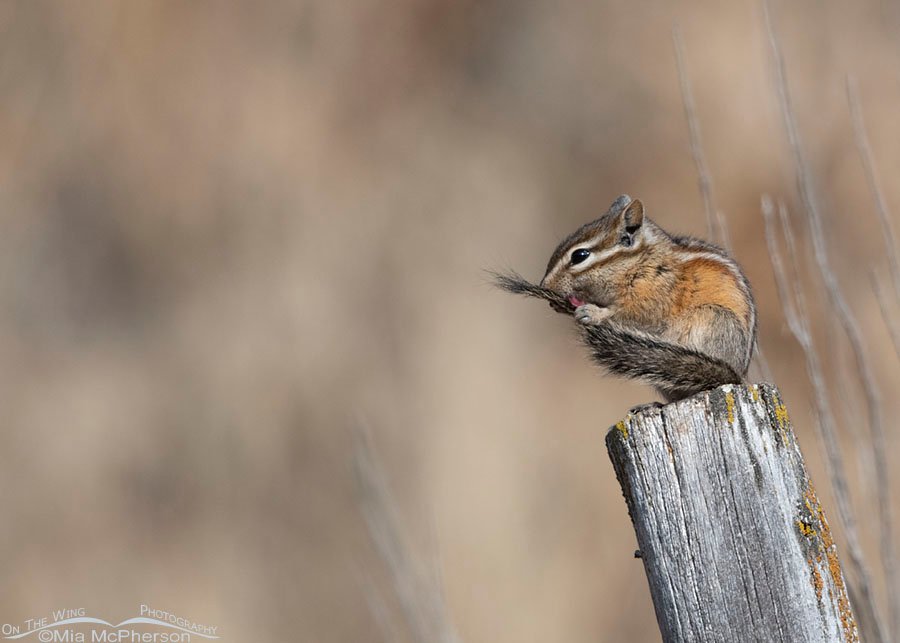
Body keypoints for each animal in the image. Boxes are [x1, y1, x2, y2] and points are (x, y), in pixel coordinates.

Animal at [530, 194, 757, 403]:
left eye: (579, 256)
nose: (544, 285)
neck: (639, 262)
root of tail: (738, 376)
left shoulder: (654, 296)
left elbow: (630, 314)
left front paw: (592, 312)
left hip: (713, 318)